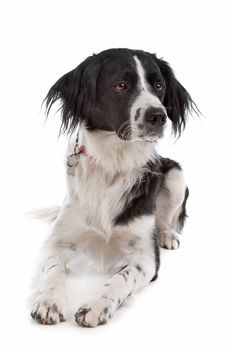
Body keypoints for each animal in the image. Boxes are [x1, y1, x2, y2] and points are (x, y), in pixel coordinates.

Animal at [30, 47, 196, 326]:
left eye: (159, 86)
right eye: (120, 85)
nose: (158, 116)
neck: (113, 164)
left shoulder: (146, 258)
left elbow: (123, 277)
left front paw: (96, 304)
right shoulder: (55, 243)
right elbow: (53, 270)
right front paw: (49, 300)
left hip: (175, 175)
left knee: (168, 219)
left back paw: (167, 234)